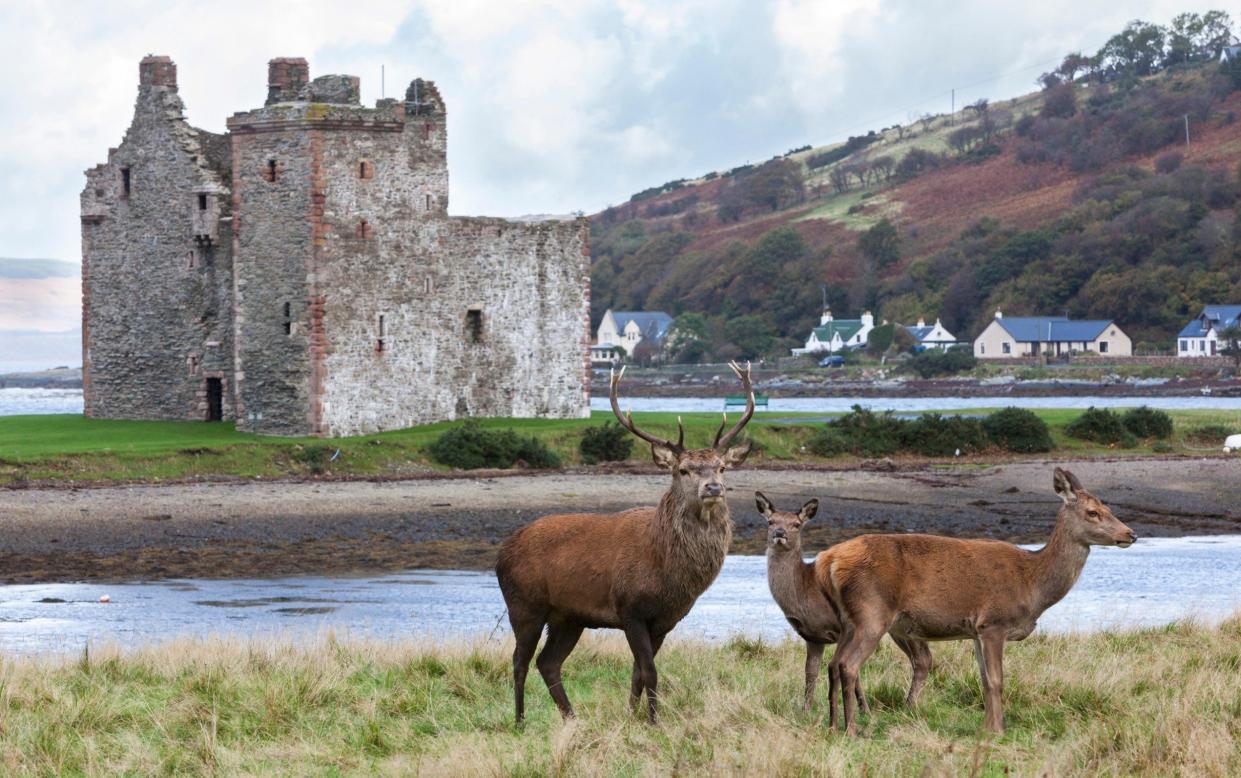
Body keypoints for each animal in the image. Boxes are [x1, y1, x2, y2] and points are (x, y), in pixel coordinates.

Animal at [496, 364, 754, 724]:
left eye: (722, 466)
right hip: (524, 604)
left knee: (548, 662)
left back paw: (572, 718)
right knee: (520, 661)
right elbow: (650, 672)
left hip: (568, 616)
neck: (665, 570)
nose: (713, 487)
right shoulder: (629, 608)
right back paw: (520, 720)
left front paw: (632, 718)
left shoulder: (665, 621)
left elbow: (637, 674)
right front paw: (654, 721)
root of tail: (501, 552)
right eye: (683, 470)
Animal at [754, 496, 933, 714]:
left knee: (922, 659)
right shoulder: (812, 636)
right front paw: (806, 710)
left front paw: (865, 710)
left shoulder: (842, 628)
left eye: (796, 524)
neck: (805, 593)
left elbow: (852, 673)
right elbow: (810, 673)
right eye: (770, 522)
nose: (779, 533)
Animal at [819, 469, 1136, 734]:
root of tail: (827, 560)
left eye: (1109, 508)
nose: (1130, 534)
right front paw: (998, 730)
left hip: (849, 619)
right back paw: (851, 729)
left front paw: (986, 727)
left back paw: (833, 726)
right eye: (1093, 512)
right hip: (872, 612)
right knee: (848, 665)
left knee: (833, 663)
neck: (1031, 584)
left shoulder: (975, 630)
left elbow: (984, 680)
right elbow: (997, 680)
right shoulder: (994, 622)